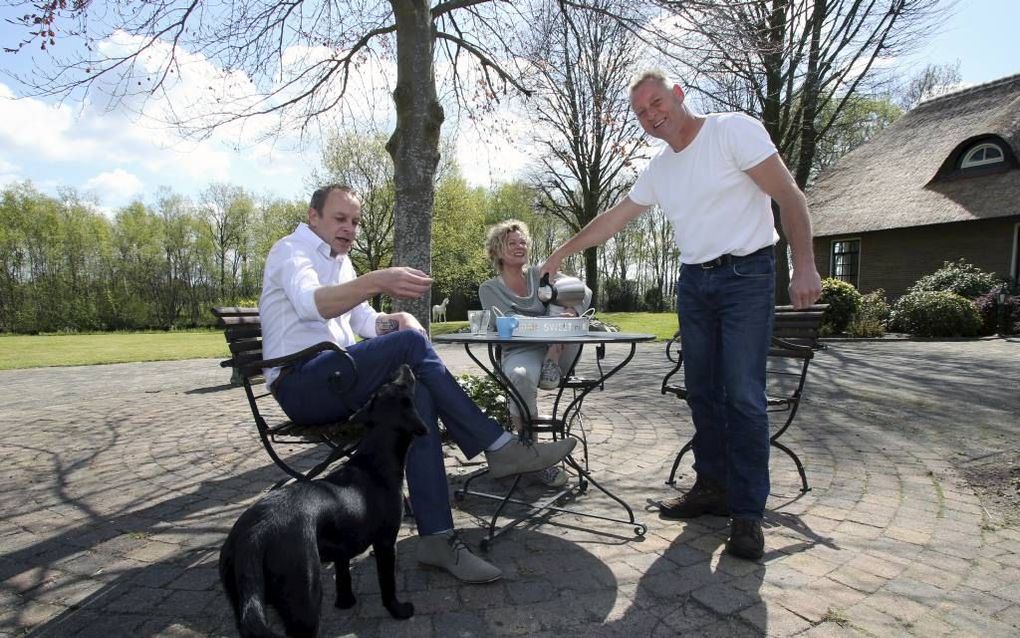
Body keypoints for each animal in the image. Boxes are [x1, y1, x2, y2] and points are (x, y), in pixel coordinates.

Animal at [221, 363, 428, 636]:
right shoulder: (385, 543)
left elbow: (343, 576)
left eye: (385, 386)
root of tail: (253, 538)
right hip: (305, 597)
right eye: (402, 384)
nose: (403, 365)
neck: (374, 460)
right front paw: (399, 610)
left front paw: (345, 602)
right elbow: (387, 585)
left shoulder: (342, 547)